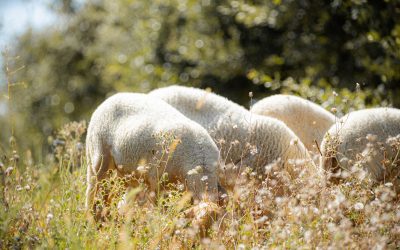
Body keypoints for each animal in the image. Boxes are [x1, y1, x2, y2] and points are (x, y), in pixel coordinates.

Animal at [85, 92, 220, 211]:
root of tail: (110, 98)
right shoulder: (155, 178)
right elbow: (158, 204)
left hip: (125, 172)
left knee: (110, 193)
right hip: (99, 157)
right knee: (93, 190)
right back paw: (91, 215)